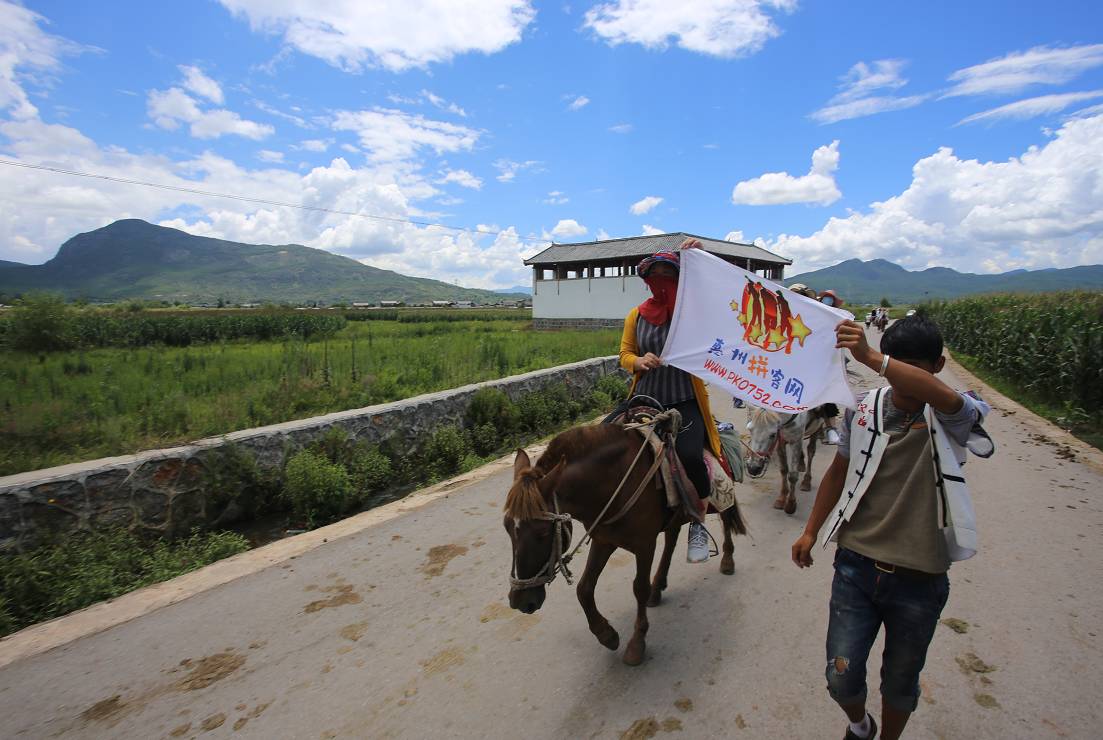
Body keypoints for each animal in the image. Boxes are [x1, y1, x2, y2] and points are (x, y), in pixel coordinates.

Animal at [502, 425, 745, 670]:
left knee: (725, 518)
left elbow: (639, 588)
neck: (612, 482)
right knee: (672, 538)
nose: (520, 601)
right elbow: (584, 588)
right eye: (507, 527)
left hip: (718, 497)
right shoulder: (603, 540)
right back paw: (658, 586)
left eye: (542, 532)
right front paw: (607, 635)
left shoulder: (645, 544)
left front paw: (636, 643)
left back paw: (727, 560)